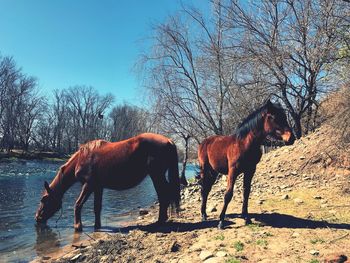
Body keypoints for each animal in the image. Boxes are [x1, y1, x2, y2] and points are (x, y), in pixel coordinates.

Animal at [34, 133, 180, 232]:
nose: (37, 218)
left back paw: (160, 221)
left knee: (164, 195)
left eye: (44, 199)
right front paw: (97, 226)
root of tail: (168, 140)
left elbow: (78, 204)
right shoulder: (98, 187)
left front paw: (78, 226)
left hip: (156, 175)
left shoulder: (88, 185)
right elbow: (97, 207)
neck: (81, 158)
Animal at [198, 100, 294, 229]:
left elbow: (246, 192)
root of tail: (204, 142)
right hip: (205, 169)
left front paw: (246, 217)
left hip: (214, 172)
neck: (244, 143)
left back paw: (205, 214)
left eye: (284, 116)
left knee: (207, 190)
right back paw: (203, 215)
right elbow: (228, 195)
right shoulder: (232, 171)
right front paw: (221, 221)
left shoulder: (250, 170)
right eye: (273, 117)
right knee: (204, 190)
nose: (291, 138)